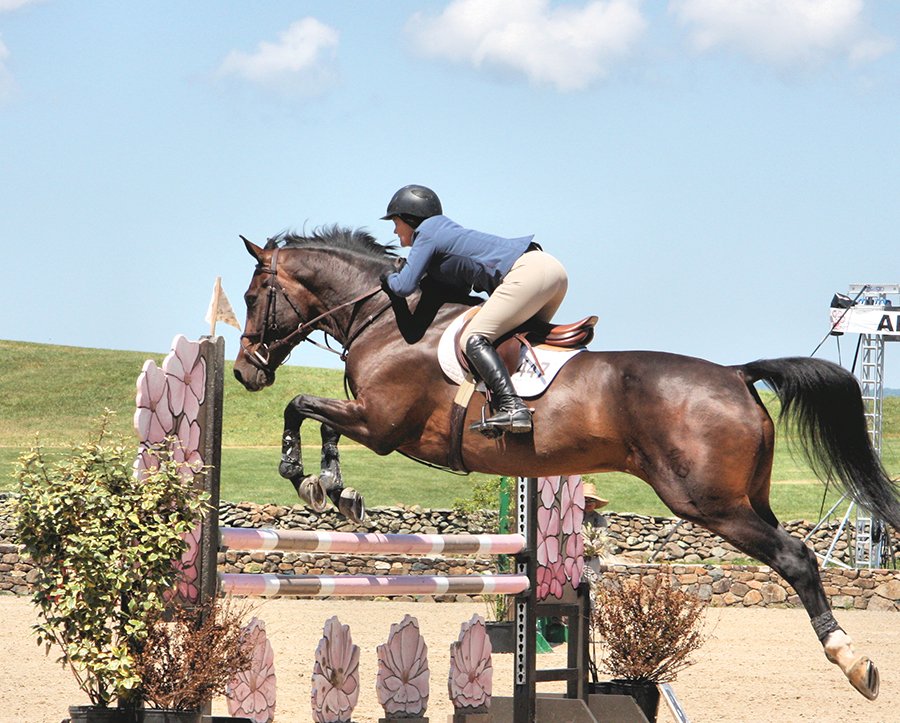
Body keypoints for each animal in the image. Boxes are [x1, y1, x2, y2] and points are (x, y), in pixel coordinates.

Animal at [233, 226, 900, 701]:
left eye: (251, 296)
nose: (243, 372)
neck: (388, 319)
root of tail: (738, 374)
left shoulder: (382, 424)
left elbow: (303, 406)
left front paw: (306, 478)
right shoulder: (372, 420)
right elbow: (321, 420)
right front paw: (335, 489)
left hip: (710, 504)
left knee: (797, 558)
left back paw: (854, 662)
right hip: (746, 499)